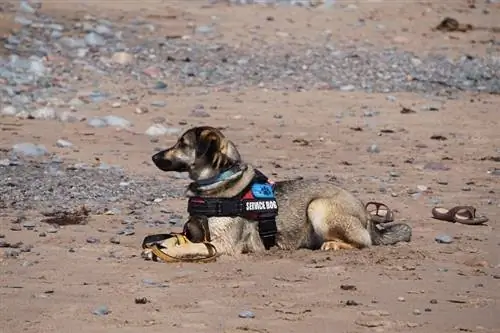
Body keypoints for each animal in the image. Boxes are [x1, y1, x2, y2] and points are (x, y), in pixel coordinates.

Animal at [151, 126, 410, 255]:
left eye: (182, 144)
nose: (153, 157)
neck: (218, 183)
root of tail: (368, 216)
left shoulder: (223, 244)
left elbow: (192, 247)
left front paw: (165, 251)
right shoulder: (193, 231)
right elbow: (175, 239)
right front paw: (162, 245)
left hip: (319, 206)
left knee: (364, 242)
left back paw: (335, 244)